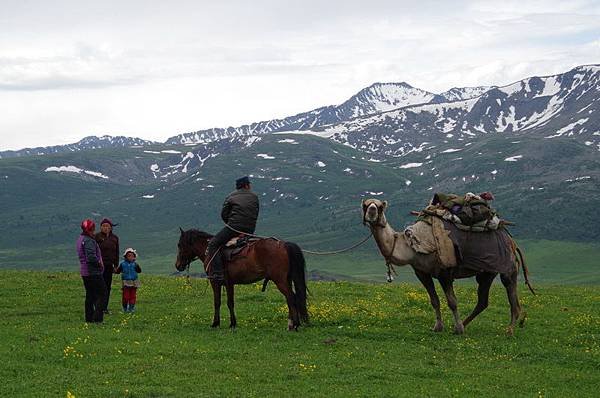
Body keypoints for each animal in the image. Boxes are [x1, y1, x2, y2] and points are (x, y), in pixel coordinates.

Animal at [171, 229, 308, 332]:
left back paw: (295, 325)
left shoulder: (215, 282)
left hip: (280, 280)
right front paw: (233, 323)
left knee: (291, 297)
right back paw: (291, 324)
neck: (208, 251)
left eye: (179, 244)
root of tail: (283, 244)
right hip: (286, 279)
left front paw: (216, 323)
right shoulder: (229, 283)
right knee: (291, 298)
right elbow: (230, 303)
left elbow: (218, 302)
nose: (178, 265)